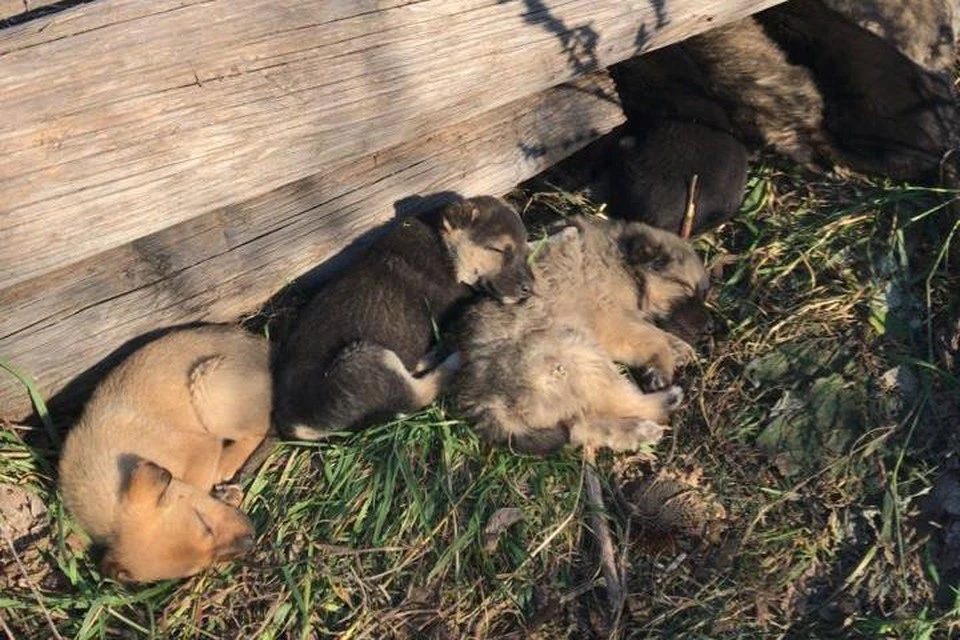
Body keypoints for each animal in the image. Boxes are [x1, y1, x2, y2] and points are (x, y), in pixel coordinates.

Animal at [58, 324, 272, 580]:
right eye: (198, 568)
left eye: (203, 522)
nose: (251, 540)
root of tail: (266, 346)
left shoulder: (201, 446)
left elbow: (199, 480)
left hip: (212, 389)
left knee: (263, 426)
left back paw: (228, 462)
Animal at [274, 195, 536, 440]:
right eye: (498, 250)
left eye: (525, 251)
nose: (530, 289)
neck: (443, 246)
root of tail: (294, 426)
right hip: (365, 361)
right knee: (417, 394)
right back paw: (455, 358)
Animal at [452, 216, 712, 456]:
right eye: (688, 290)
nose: (710, 328)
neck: (623, 263)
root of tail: (487, 402)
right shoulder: (613, 320)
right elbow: (653, 335)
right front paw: (663, 364)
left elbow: (657, 333)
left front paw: (680, 347)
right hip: (582, 352)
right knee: (628, 403)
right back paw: (667, 401)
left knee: (580, 428)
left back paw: (640, 431)